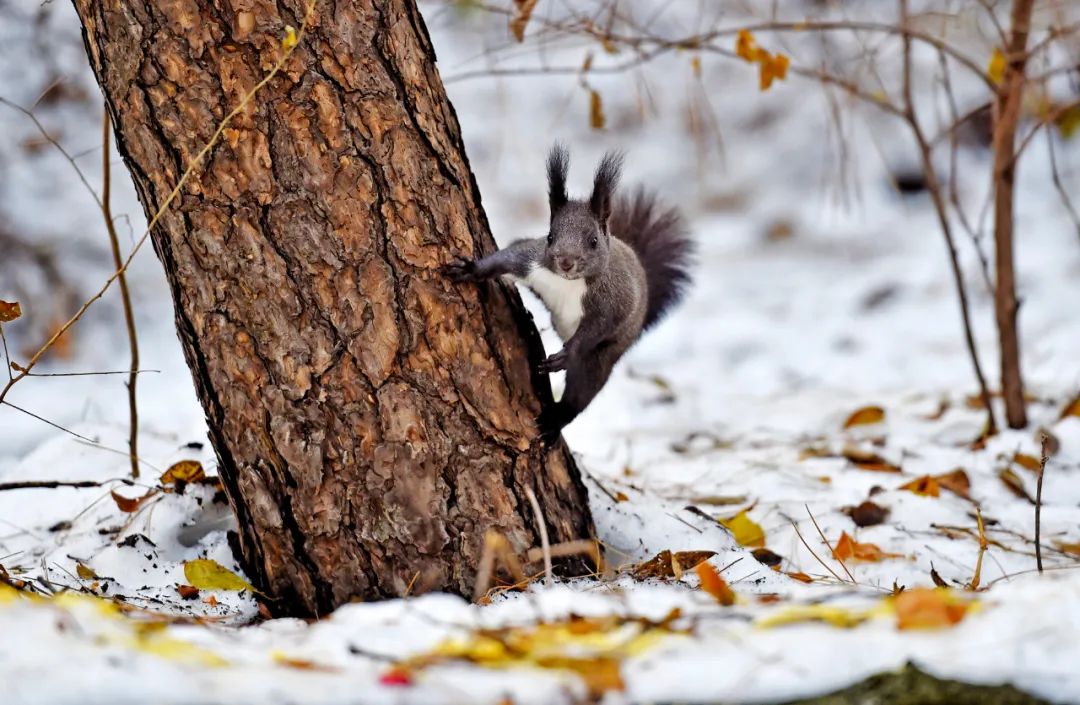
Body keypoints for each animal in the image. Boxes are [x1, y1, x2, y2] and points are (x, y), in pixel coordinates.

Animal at [444, 144, 691, 442]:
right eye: (550, 236)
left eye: (593, 241)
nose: (565, 262)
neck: (568, 282)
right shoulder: (530, 259)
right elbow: (503, 259)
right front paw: (471, 269)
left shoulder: (614, 302)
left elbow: (597, 328)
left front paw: (565, 355)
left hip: (601, 357)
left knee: (581, 393)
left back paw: (556, 419)